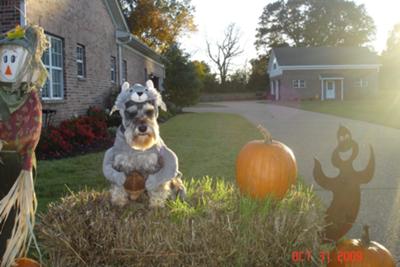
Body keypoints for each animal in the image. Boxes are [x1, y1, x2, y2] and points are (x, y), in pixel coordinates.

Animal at [102, 80, 185, 208]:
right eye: (131, 113)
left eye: (149, 111)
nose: (142, 128)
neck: (137, 147)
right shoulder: (119, 164)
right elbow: (118, 185)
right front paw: (118, 201)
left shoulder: (154, 165)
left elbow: (157, 186)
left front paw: (156, 204)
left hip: (176, 182)